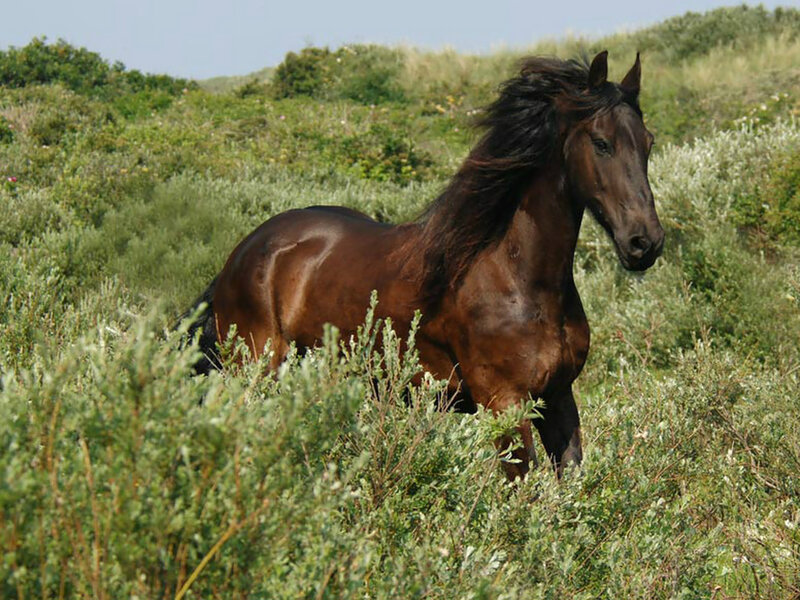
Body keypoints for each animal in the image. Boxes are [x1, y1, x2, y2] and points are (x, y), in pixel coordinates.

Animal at [183, 51, 664, 480]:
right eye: (601, 142)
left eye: (648, 142)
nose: (645, 242)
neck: (520, 279)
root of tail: (244, 254)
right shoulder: (505, 403)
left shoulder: (559, 397)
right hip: (254, 373)